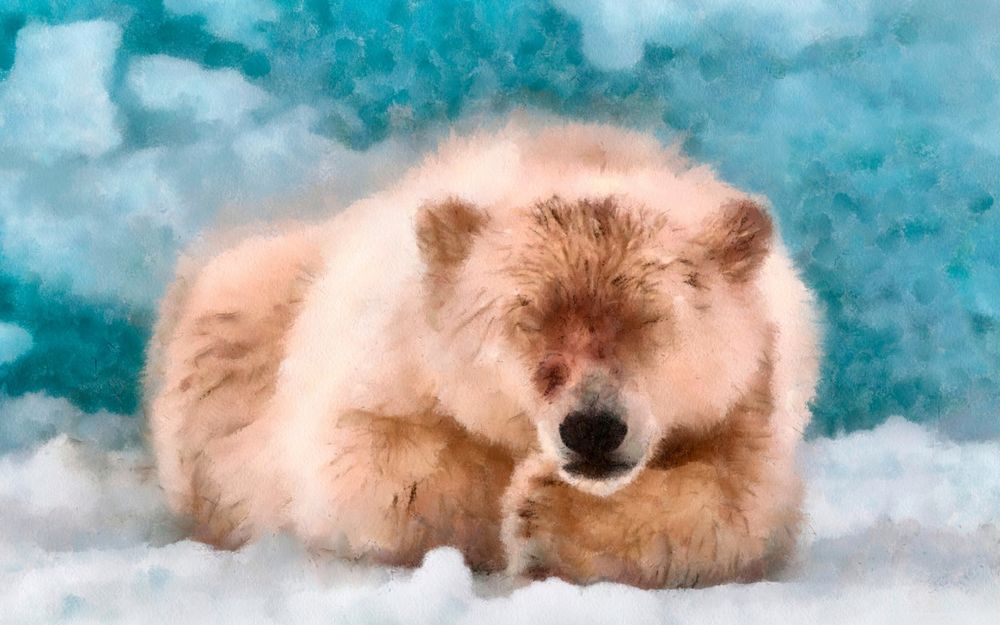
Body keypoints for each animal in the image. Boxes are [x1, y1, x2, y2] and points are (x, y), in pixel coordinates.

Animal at [145, 119, 820, 588]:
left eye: (650, 320)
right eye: (529, 319)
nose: (593, 427)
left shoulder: (754, 394)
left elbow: (741, 504)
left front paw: (550, 510)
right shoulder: (385, 353)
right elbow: (360, 464)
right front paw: (517, 498)